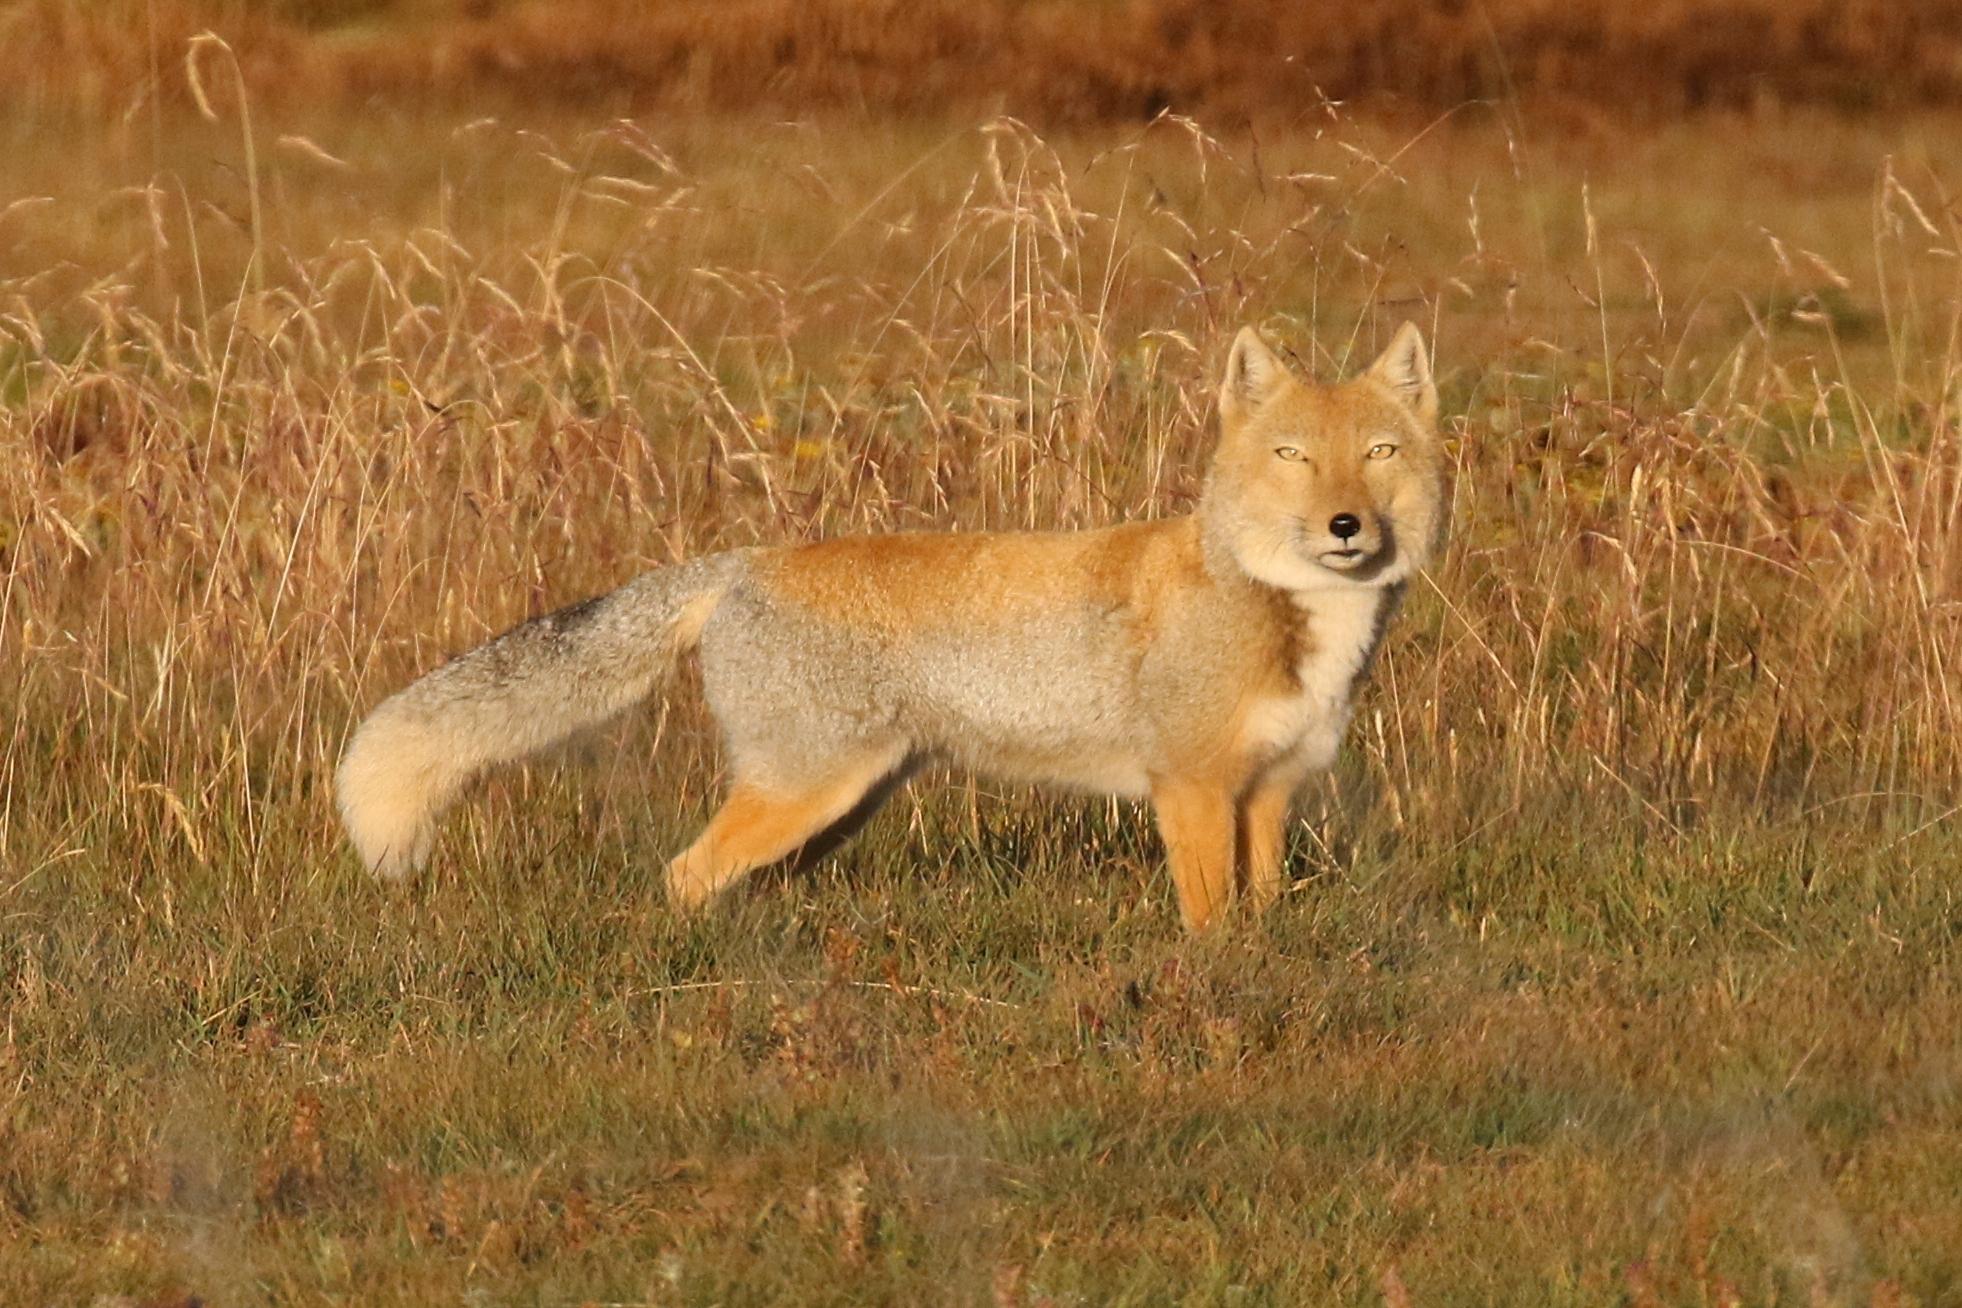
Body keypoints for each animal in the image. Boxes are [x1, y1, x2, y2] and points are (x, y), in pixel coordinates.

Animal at [336, 323, 1447, 932]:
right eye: (1294, 457)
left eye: (1380, 452)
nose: (1346, 526)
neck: (1283, 613)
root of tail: (747, 561)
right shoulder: (1193, 790)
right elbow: (1213, 928)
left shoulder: (1268, 793)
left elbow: (1263, 916)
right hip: (807, 793)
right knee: (683, 878)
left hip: (834, 811)